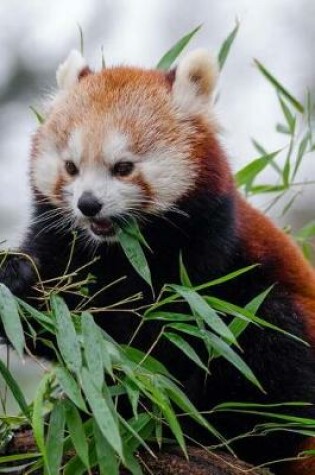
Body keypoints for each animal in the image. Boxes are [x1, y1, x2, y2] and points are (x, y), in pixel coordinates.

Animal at [0, 47, 315, 472]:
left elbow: (168, 342)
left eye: (123, 167)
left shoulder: (204, 254)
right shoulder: (62, 240)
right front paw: (15, 278)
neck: (119, 249)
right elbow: (59, 325)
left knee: (271, 335)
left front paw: (141, 410)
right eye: (71, 167)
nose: (88, 204)